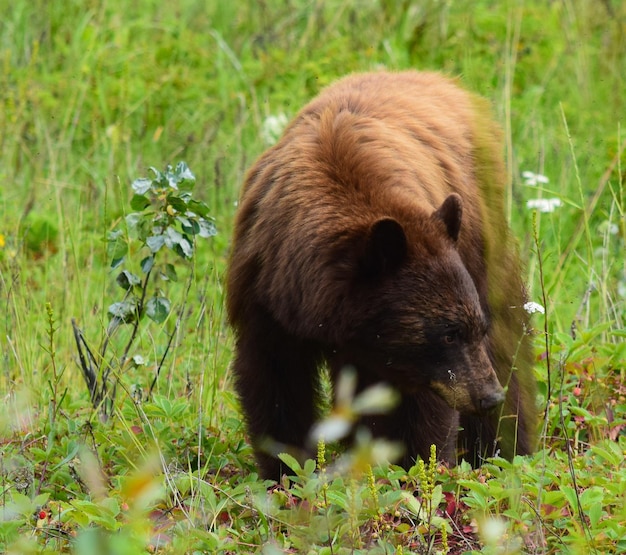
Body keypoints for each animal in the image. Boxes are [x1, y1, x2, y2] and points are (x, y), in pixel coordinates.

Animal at [224, 70, 536, 482]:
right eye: (448, 333)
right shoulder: (265, 291)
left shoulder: (421, 361)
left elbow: (423, 407)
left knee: (506, 345)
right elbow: (274, 380)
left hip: (481, 237)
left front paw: (416, 468)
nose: (487, 396)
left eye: (471, 330)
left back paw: (504, 447)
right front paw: (286, 471)